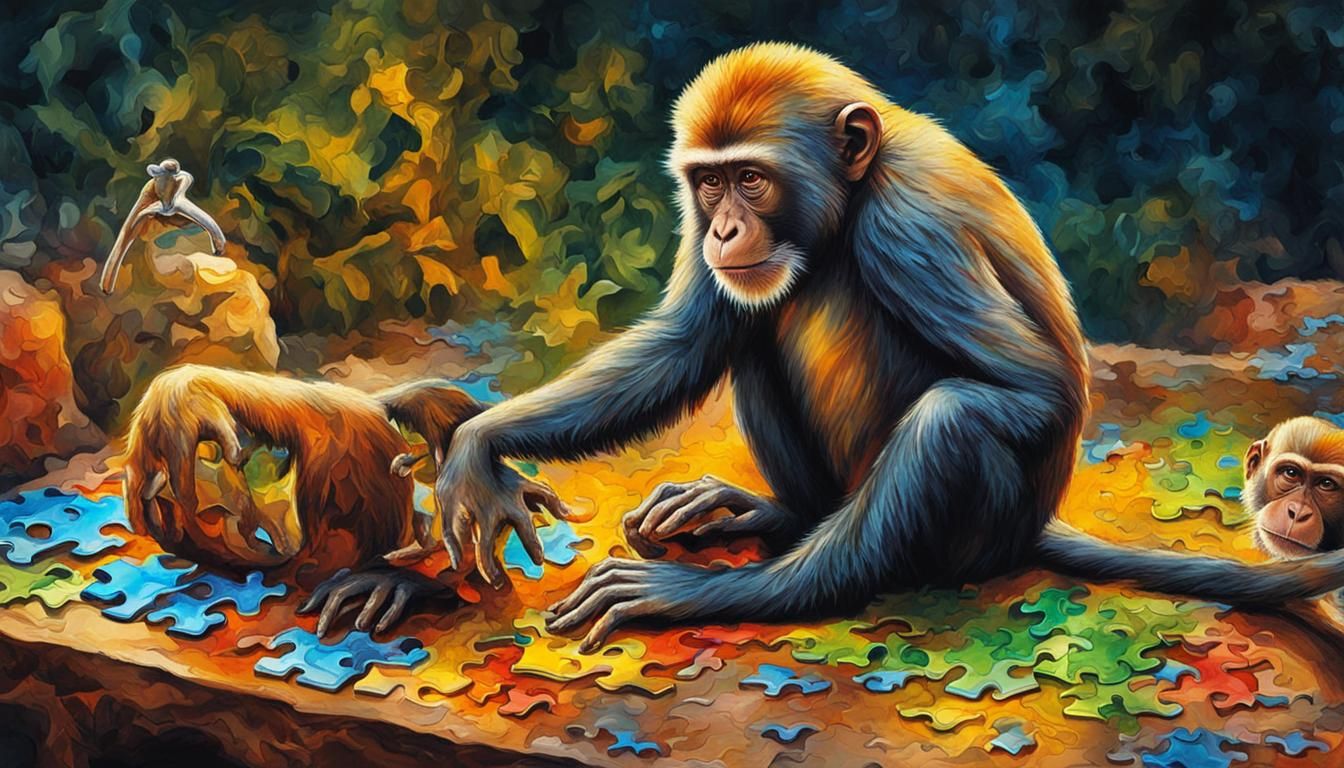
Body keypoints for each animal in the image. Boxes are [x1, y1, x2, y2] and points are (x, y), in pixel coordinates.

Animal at [412, 43, 1344, 652]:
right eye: (708, 182)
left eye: (751, 179)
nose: (722, 227)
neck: (856, 180)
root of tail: (1029, 530)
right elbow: (682, 343)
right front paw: (477, 444)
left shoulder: (908, 226)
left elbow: (1026, 392)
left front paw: (710, 596)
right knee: (760, 319)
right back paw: (777, 513)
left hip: (981, 530)